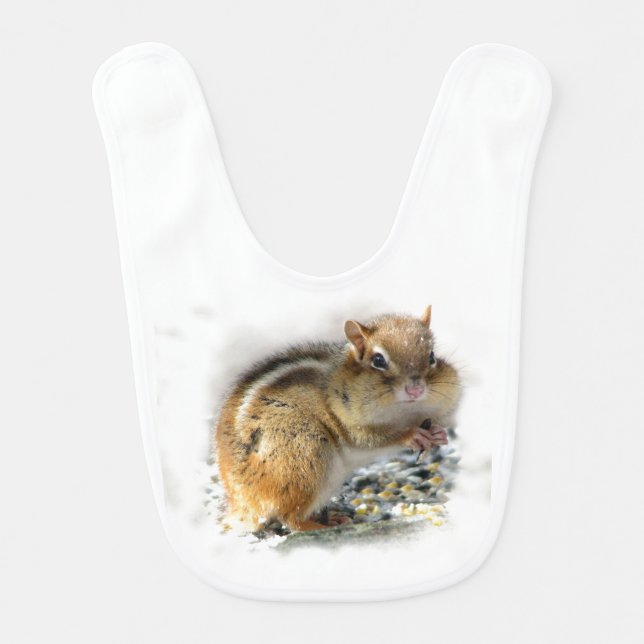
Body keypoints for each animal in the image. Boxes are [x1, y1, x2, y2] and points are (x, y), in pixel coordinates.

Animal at [214, 305, 461, 532]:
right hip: (304, 452)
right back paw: (316, 526)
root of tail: (241, 503)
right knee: (289, 518)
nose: (416, 389)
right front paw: (412, 435)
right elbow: (369, 439)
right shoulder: (348, 420)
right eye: (378, 360)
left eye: (431, 357)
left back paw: (330, 518)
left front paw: (439, 434)